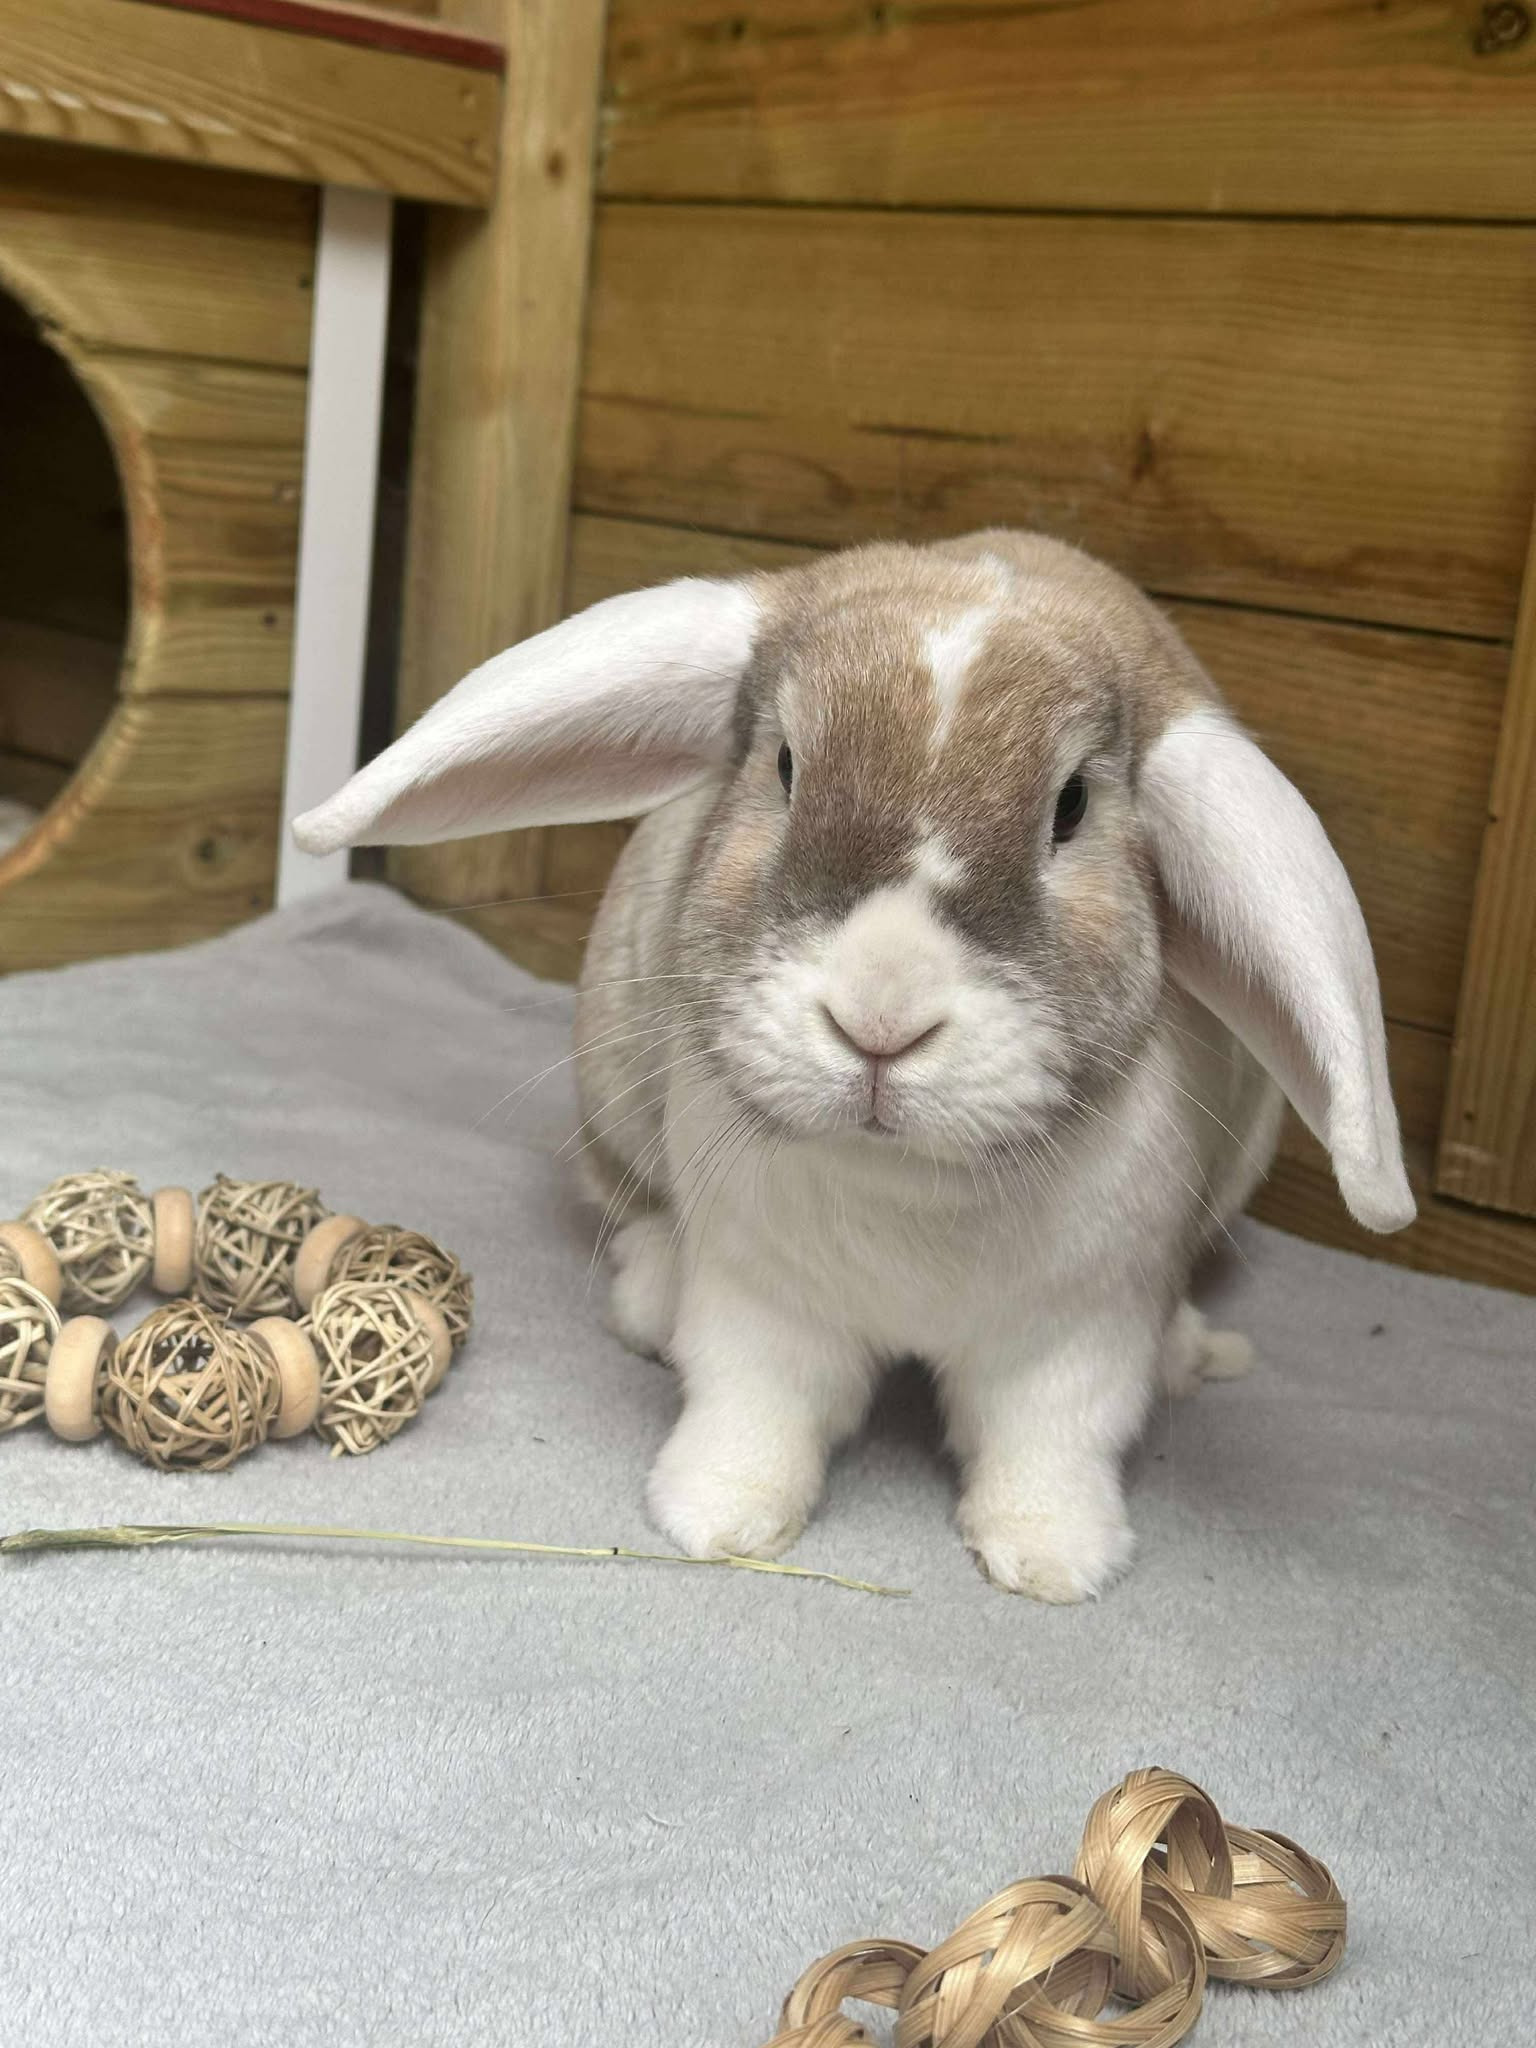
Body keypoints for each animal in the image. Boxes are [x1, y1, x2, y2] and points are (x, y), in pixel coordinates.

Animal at [295, 529, 1413, 1601]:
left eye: (1073, 808)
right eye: (786, 766)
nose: (880, 1018)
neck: (905, 1185)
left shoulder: (1078, 1330)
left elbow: (1052, 1441)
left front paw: (1056, 1562)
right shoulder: (761, 1298)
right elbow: (756, 1405)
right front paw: (714, 1519)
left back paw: (1195, 1354)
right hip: (612, 1082)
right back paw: (652, 1301)